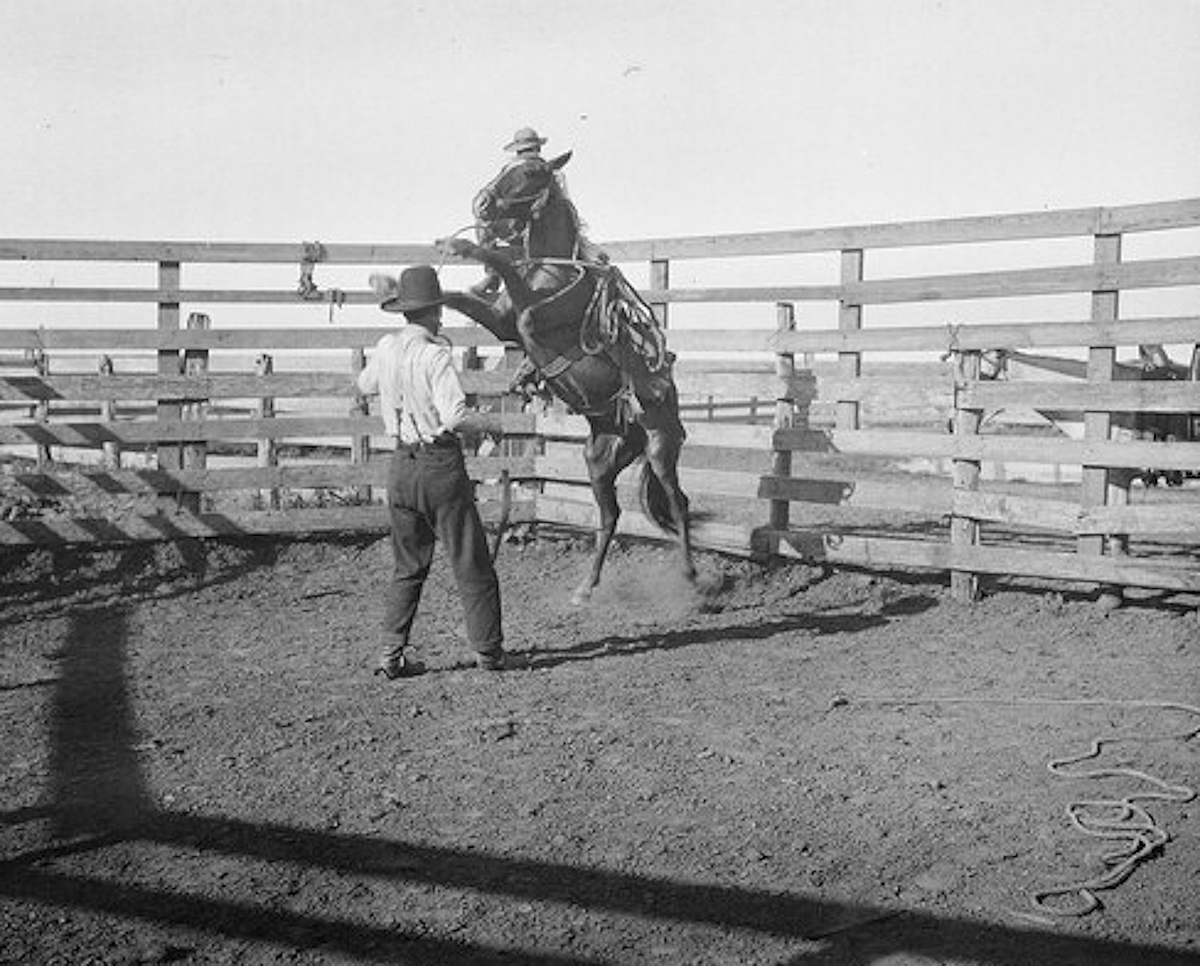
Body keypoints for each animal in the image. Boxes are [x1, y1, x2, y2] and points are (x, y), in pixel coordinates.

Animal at [436, 151, 695, 605]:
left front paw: (464, 245)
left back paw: (691, 577)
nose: (482, 203)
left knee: (679, 503)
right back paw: (585, 588)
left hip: (661, 448)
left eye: (532, 171)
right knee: (610, 515)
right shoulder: (500, 321)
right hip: (600, 460)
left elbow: (515, 293)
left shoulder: (531, 317)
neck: (551, 269)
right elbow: (464, 299)